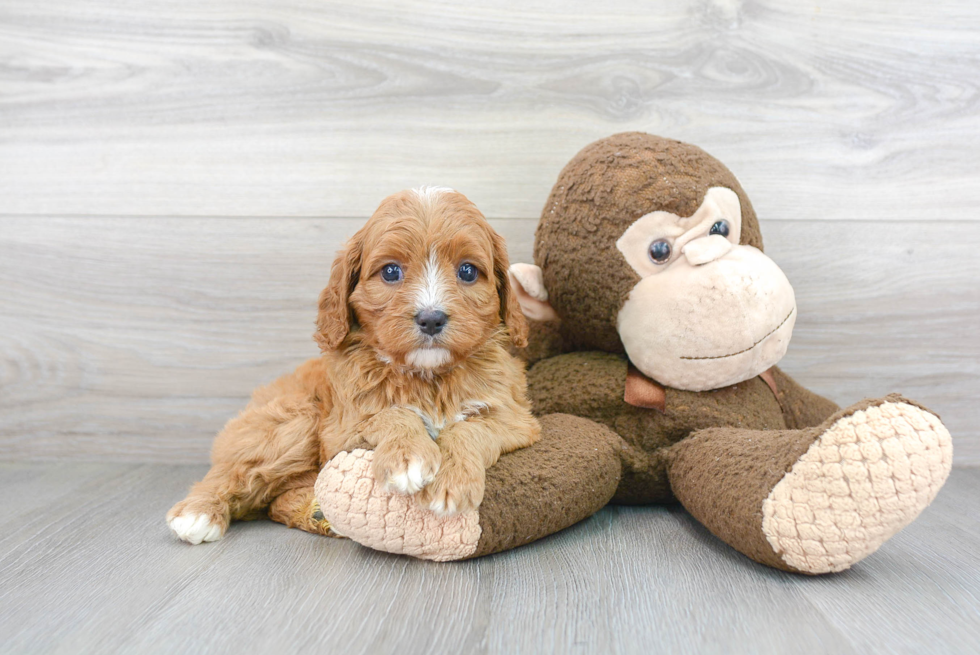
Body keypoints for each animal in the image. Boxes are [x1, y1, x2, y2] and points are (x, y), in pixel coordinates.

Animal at [165, 187, 540, 544]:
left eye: (467, 271)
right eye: (391, 271)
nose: (431, 319)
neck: (428, 376)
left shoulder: (517, 420)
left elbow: (470, 428)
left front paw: (451, 480)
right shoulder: (341, 431)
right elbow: (389, 413)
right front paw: (407, 457)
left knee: (276, 500)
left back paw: (318, 513)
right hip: (294, 421)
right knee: (233, 473)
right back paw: (198, 513)